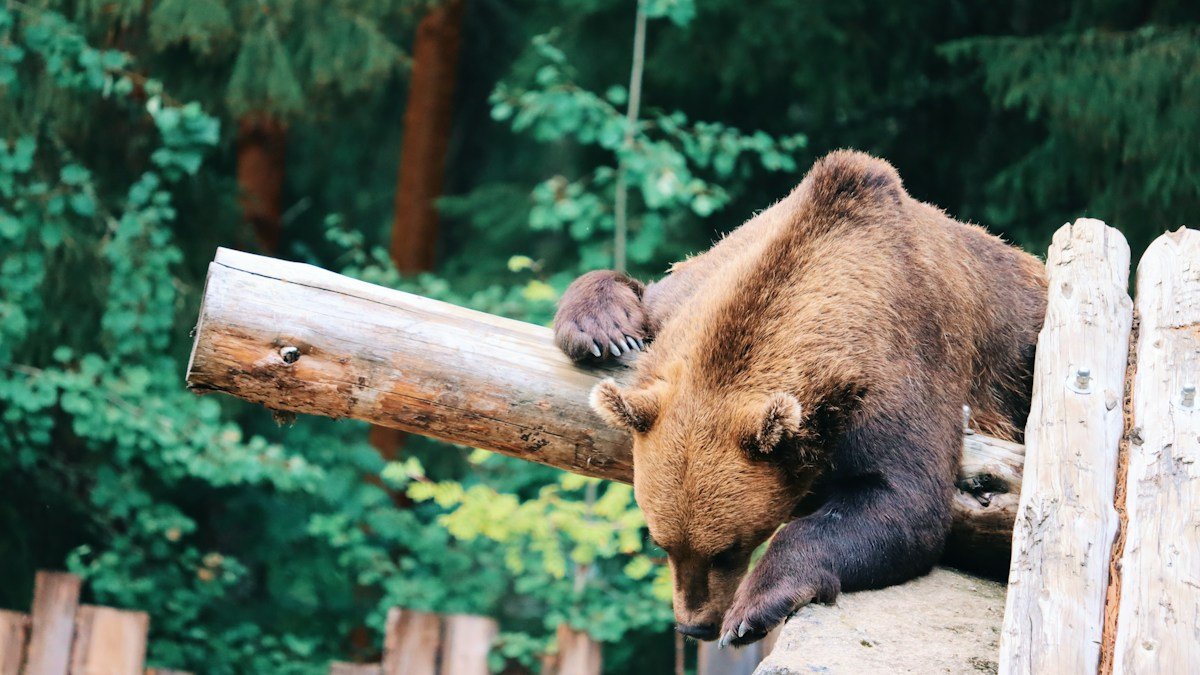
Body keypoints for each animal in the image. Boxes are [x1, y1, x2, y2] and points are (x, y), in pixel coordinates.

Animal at [552, 150, 1048, 647]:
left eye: (727, 549)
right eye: (662, 542)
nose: (695, 625)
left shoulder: (905, 362)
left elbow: (902, 499)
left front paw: (753, 608)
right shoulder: (697, 290)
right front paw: (603, 330)